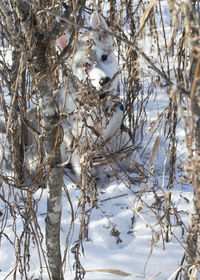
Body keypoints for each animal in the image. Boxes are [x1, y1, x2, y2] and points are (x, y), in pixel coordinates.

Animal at [54, 11, 141, 179]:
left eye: (104, 57)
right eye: (85, 65)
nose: (104, 80)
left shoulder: (116, 132)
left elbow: (132, 154)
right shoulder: (78, 140)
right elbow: (82, 164)